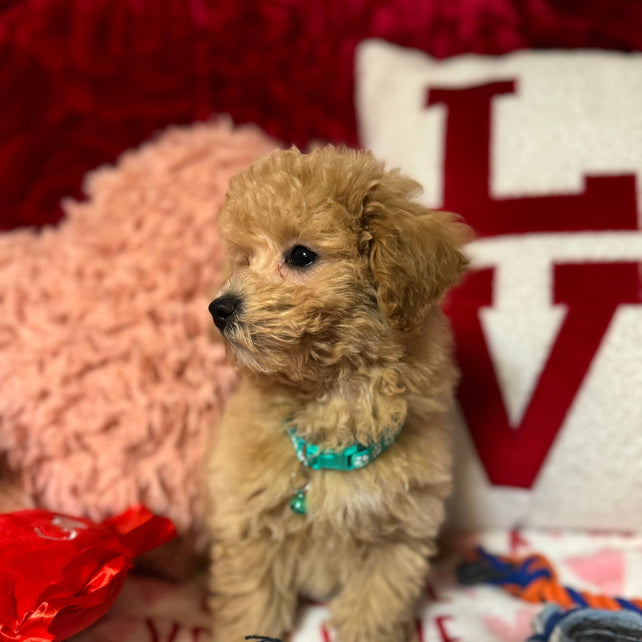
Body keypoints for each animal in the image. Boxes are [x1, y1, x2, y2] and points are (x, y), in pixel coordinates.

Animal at [208, 146, 468, 640]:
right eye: (244, 259)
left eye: (301, 255)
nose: (218, 308)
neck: (334, 392)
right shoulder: (251, 525)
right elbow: (251, 604)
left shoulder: (397, 534)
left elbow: (374, 608)